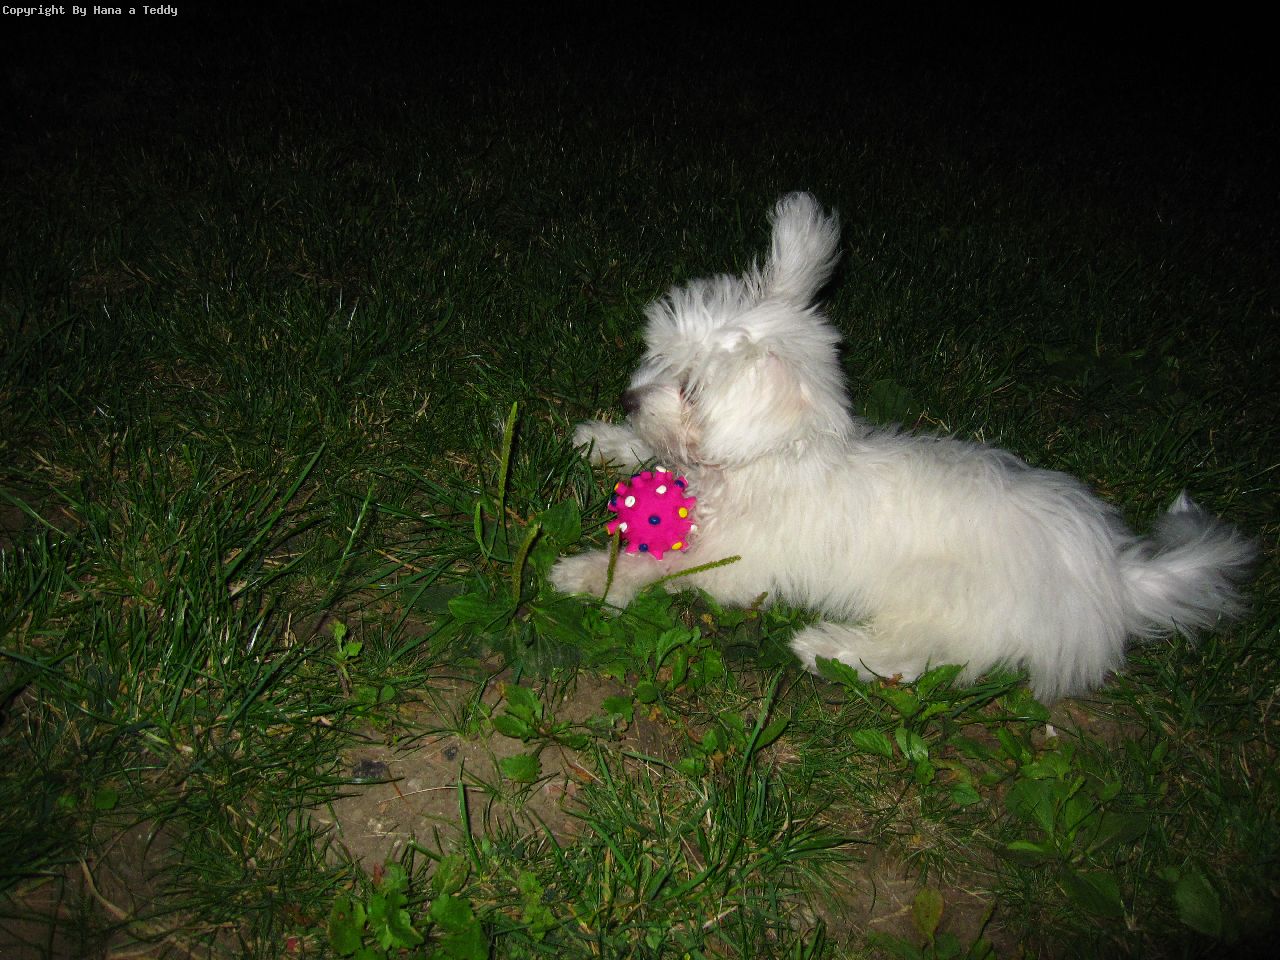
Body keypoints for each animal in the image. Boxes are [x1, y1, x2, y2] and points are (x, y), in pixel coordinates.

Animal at [550, 193, 1255, 700]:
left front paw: (588, 574)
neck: (774, 463)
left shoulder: (738, 560)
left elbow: (665, 564)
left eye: (691, 389)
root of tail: (1113, 577)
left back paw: (827, 648)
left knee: (923, 656)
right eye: (663, 360)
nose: (629, 400)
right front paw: (602, 441)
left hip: (948, 596)